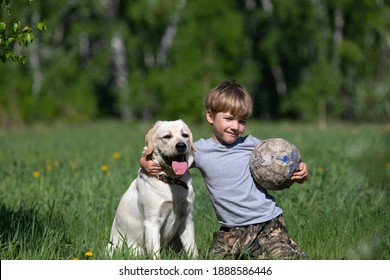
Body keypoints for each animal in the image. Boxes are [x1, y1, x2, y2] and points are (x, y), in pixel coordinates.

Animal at [107, 119, 197, 260]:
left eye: (185, 135)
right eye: (167, 136)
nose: (181, 145)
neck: (171, 180)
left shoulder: (187, 219)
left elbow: (193, 250)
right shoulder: (151, 222)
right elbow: (155, 254)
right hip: (133, 250)